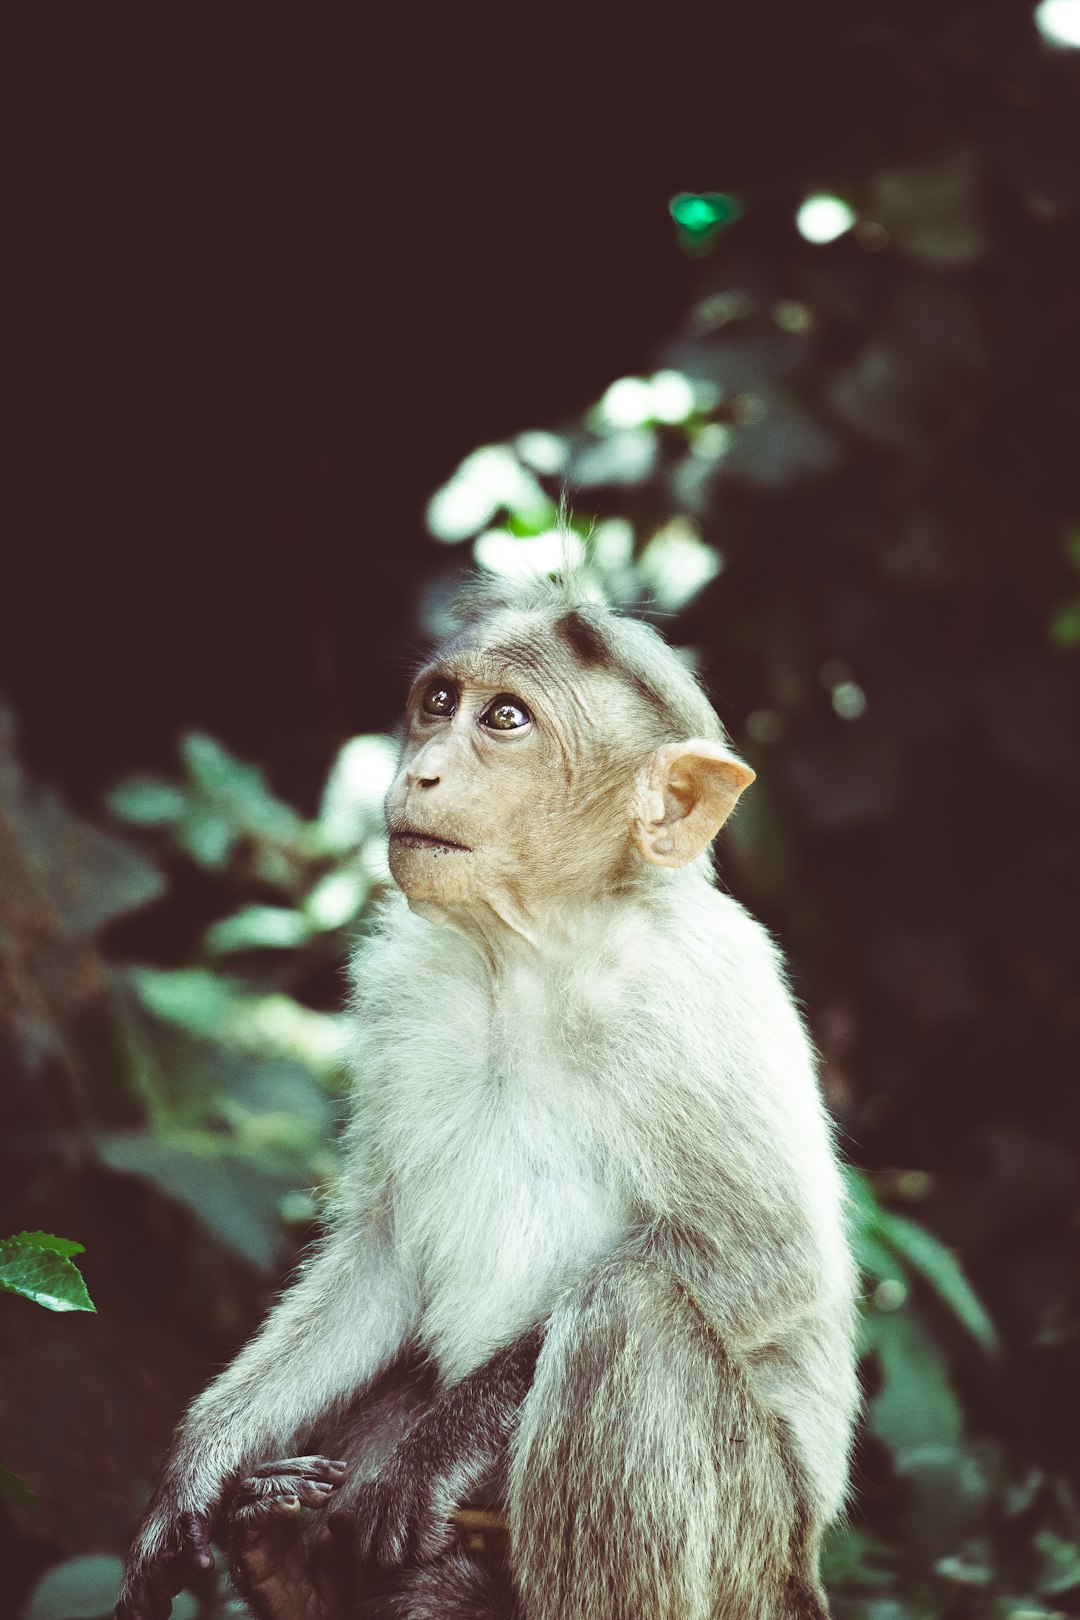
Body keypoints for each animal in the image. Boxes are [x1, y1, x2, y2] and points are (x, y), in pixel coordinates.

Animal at [116, 576, 861, 1620]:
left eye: (505, 720)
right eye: (440, 703)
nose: (423, 771)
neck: (534, 953)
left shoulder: (697, 996)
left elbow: (768, 1259)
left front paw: (430, 1459)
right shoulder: (401, 980)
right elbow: (385, 1251)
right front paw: (199, 1463)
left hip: (754, 1565)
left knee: (627, 1314)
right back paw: (296, 1569)